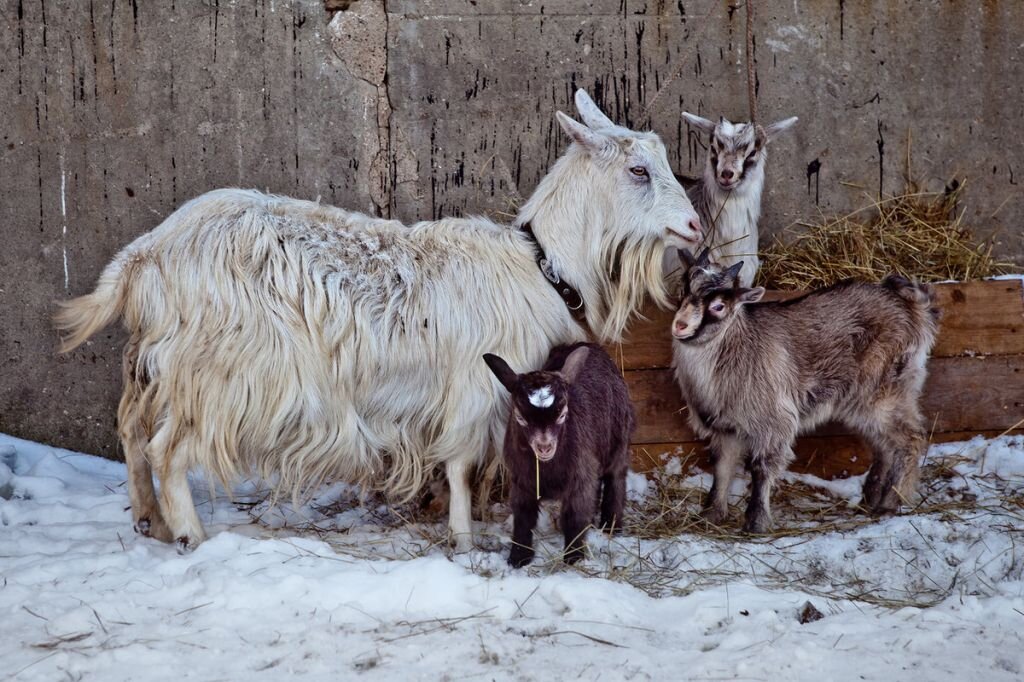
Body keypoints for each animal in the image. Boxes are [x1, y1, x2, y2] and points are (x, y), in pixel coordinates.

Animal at [56, 90, 704, 548]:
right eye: (638, 171)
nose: (696, 226)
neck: (538, 262)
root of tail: (147, 254)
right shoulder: (474, 387)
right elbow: (461, 464)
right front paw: (463, 538)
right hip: (217, 374)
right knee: (166, 448)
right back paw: (190, 534)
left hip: (157, 366)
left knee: (134, 434)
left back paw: (151, 522)